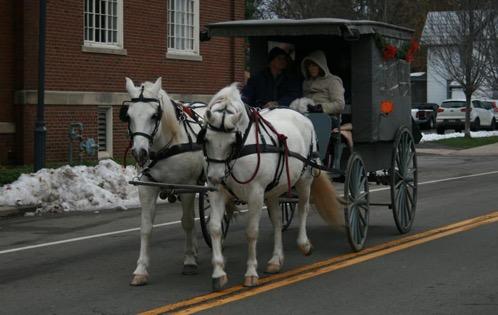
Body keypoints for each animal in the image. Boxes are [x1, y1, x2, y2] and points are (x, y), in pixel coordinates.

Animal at [122, 77, 206, 286]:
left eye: (154, 115)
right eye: (128, 116)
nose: (140, 153)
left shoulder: (187, 185)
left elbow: (187, 222)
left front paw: (189, 261)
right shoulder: (147, 187)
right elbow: (145, 228)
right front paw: (141, 270)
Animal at [200, 84, 340, 292]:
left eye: (232, 142)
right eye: (206, 139)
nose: (216, 177)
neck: (240, 152)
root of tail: (302, 115)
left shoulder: (256, 194)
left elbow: (251, 232)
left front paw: (251, 273)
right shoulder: (217, 193)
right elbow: (215, 228)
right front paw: (218, 273)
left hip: (304, 179)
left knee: (303, 209)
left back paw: (304, 244)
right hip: (274, 191)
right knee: (277, 221)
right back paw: (276, 260)